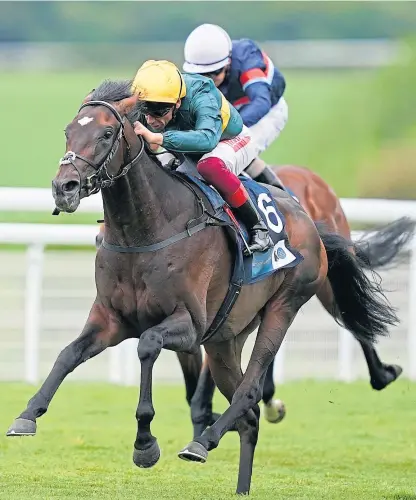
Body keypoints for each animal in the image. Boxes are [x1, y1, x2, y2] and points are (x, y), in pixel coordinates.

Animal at [6, 80, 402, 494]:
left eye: (106, 133)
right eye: (68, 131)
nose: (63, 187)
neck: (146, 230)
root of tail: (307, 218)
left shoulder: (189, 324)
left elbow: (148, 345)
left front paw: (145, 444)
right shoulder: (111, 320)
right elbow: (67, 354)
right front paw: (27, 415)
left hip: (285, 305)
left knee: (251, 389)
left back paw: (204, 441)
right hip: (226, 337)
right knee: (249, 414)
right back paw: (239, 484)